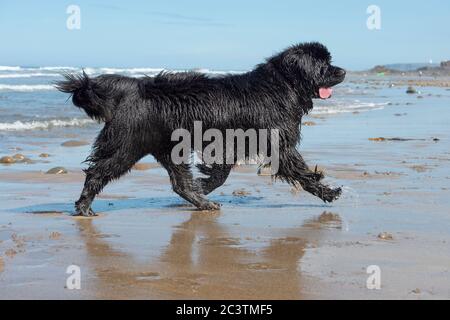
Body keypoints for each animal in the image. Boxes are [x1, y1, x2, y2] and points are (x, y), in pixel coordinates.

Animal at [56, 42, 344, 215]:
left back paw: (204, 203)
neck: (282, 85)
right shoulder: (275, 143)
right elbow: (300, 170)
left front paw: (203, 186)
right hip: (127, 146)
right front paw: (328, 192)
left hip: (168, 148)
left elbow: (220, 173)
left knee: (179, 182)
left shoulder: (232, 143)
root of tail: (133, 89)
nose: (342, 71)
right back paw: (84, 207)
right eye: (323, 64)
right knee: (98, 172)